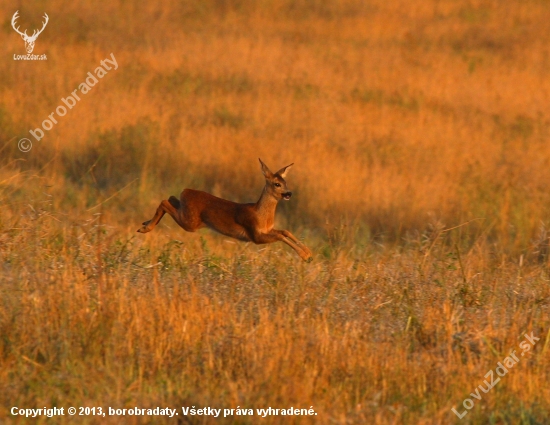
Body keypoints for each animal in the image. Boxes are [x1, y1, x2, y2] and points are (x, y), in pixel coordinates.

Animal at [138, 158, 314, 260]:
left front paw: (308, 251)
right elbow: (281, 235)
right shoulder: (255, 235)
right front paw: (305, 255)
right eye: (277, 184)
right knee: (164, 201)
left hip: (187, 214)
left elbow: (285, 231)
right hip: (190, 222)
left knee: (171, 198)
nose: (289, 193)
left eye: (286, 182)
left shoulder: (266, 230)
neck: (261, 215)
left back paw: (145, 223)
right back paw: (145, 228)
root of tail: (186, 191)